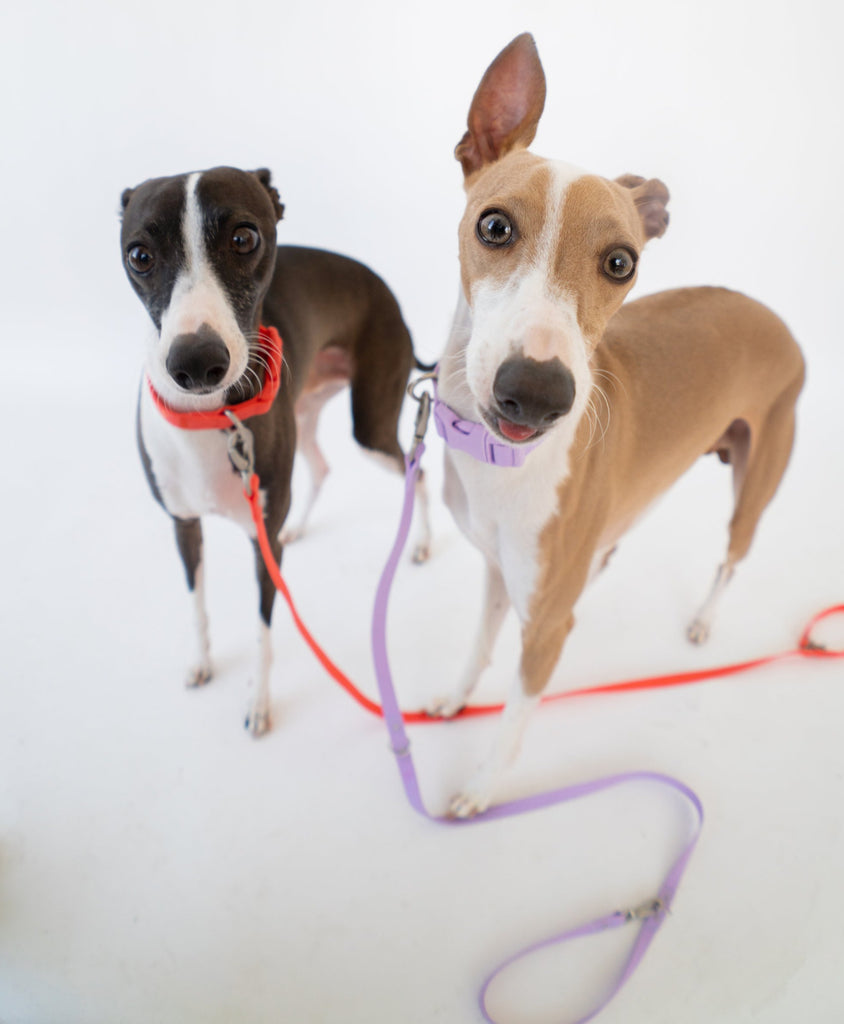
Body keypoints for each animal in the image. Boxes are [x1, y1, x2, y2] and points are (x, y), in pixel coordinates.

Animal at [120, 163, 428, 733]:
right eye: (140, 255)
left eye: (245, 238)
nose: (196, 362)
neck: (212, 419)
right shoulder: (183, 524)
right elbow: (196, 604)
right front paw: (201, 663)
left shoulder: (262, 550)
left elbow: (263, 632)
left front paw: (258, 704)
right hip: (303, 416)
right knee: (321, 468)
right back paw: (299, 525)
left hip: (371, 428)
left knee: (415, 470)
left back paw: (419, 542)